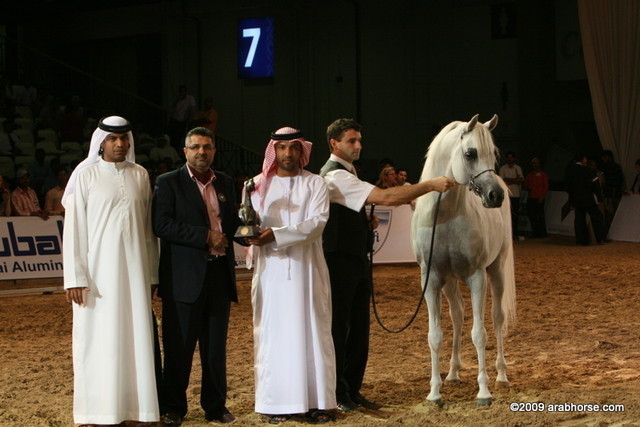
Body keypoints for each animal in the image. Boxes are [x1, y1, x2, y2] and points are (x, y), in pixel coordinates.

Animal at [411, 114, 516, 406]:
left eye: (493, 154)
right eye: (470, 153)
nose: (495, 196)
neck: (446, 216)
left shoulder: (477, 277)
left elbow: (479, 333)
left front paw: (484, 392)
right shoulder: (432, 279)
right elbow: (435, 336)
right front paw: (434, 393)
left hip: (496, 270)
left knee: (497, 318)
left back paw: (501, 375)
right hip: (449, 282)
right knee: (457, 315)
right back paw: (454, 372)